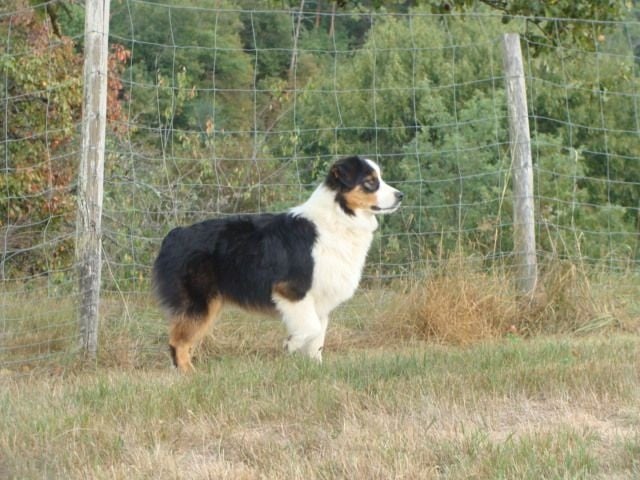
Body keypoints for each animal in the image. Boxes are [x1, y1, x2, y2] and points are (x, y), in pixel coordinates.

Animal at [153, 156, 403, 372]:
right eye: (370, 182)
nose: (401, 195)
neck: (339, 217)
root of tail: (173, 235)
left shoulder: (319, 299)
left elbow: (317, 338)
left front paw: (316, 368)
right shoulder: (291, 290)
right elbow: (310, 328)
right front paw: (290, 344)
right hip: (199, 303)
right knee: (177, 342)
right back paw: (190, 375)